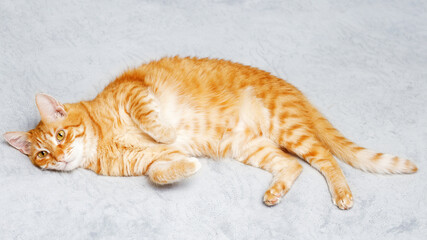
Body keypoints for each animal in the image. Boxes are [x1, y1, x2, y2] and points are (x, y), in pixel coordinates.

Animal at [3, 55, 418, 208]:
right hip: (252, 147)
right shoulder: (150, 161)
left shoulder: (135, 92)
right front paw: (188, 166)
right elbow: (159, 172)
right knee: (293, 166)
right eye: (42, 154)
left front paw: (165, 129)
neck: (102, 140)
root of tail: (295, 92)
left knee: (328, 160)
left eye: (59, 137)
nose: (58, 158)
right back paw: (275, 192)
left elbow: (151, 119)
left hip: (289, 129)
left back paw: (343, 194)